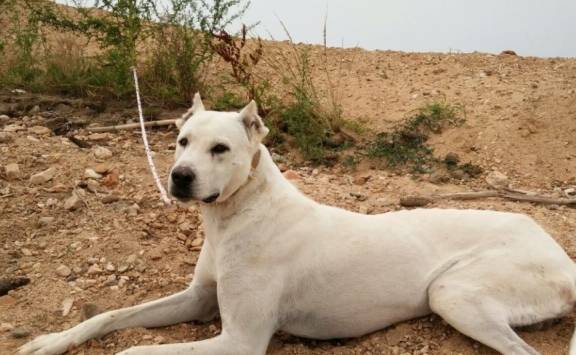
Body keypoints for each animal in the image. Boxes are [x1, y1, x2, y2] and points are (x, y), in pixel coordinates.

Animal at [19, 95, 576, 355]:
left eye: (220, 149)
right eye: (181, 141)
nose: (179, 178)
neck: (237, 215)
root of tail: (559, 253)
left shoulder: (239, 340)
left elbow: (136, 347)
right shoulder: (198, 300)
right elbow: (111, 317)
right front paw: (53, 341)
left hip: (454, 293)